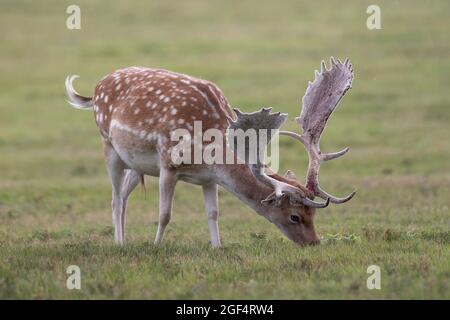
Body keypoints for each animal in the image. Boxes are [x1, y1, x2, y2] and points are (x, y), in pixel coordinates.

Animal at [66, 57, 356, 248]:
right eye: (295, 216)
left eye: (313, 214)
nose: (314, 243)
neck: (209, 153)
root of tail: (96, 88)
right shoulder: (168, 163)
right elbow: (165, 213)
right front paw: (156, 246)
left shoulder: (209, 178)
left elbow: (213, 213)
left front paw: (217, 246)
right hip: (108, 145)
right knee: (115, 198)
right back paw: (119, 243)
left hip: (136, 165)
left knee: (124, 196)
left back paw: (124, 239)